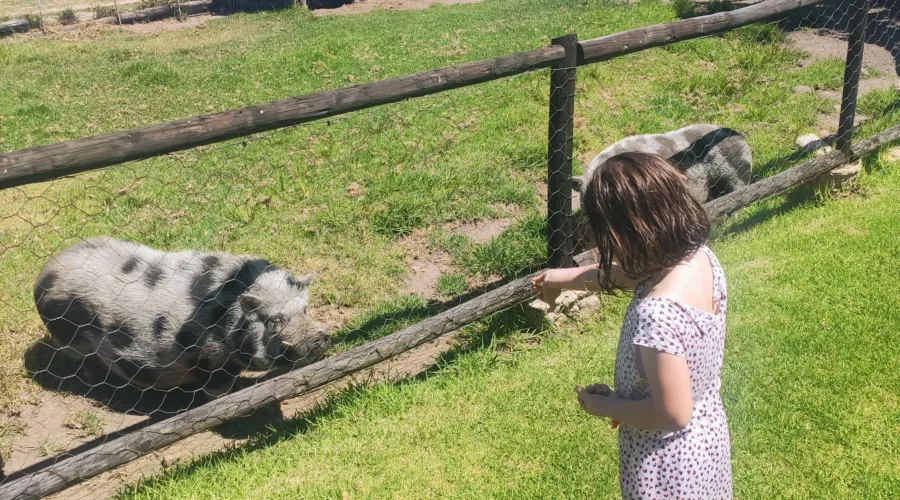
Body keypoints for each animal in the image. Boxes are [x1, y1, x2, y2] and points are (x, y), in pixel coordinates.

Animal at [34, 237, 334, 398]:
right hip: (68, 339)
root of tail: (45, 272)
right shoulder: (208, 359)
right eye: (273, 321)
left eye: (304, 309)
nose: (316, 338)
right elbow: (218, 388)